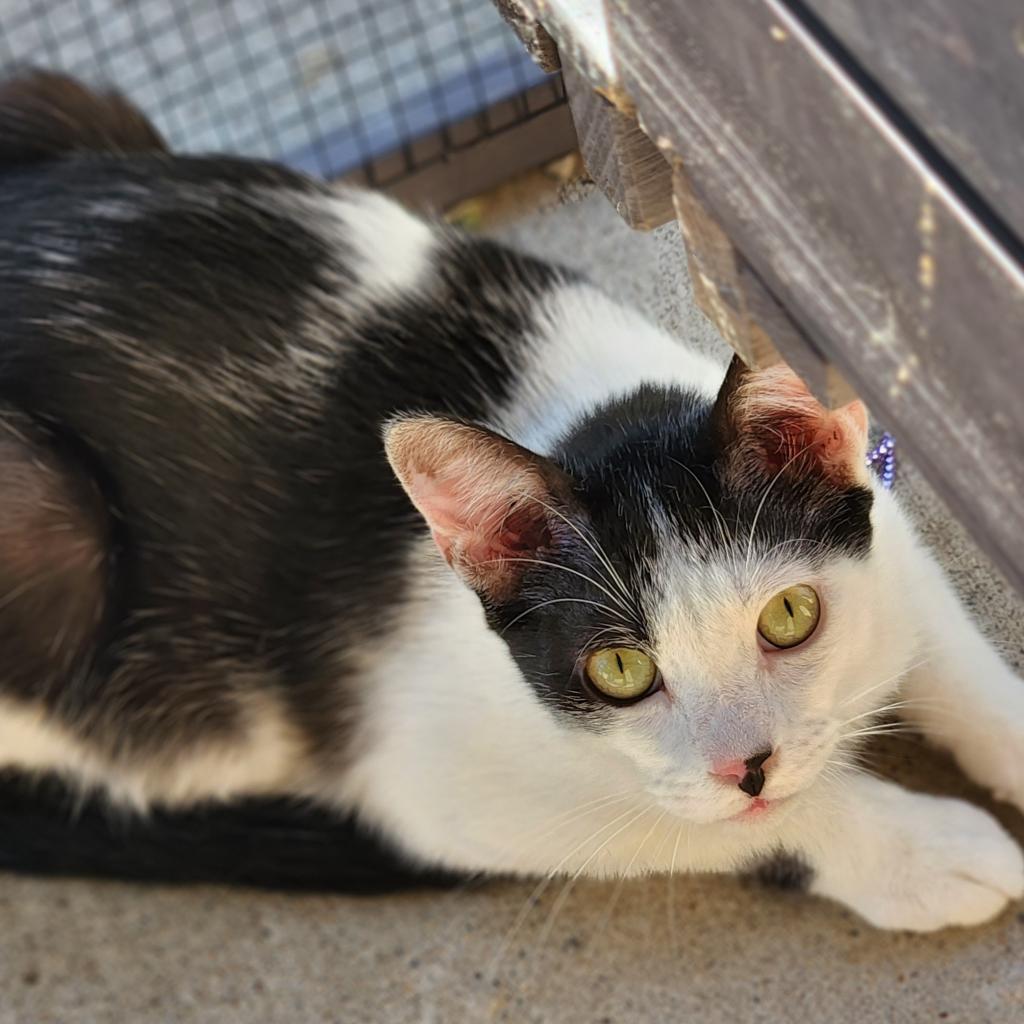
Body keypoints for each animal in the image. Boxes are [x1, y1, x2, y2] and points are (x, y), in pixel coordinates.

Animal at [2, 70, 1024, 937]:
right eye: (620, 670)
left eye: (790, 615)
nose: (748, 765)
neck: (590, 413)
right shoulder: (433, 780)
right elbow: (703, 820)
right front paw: (919, 850)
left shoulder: (883, 531)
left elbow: (941, 643)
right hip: (55, 524)